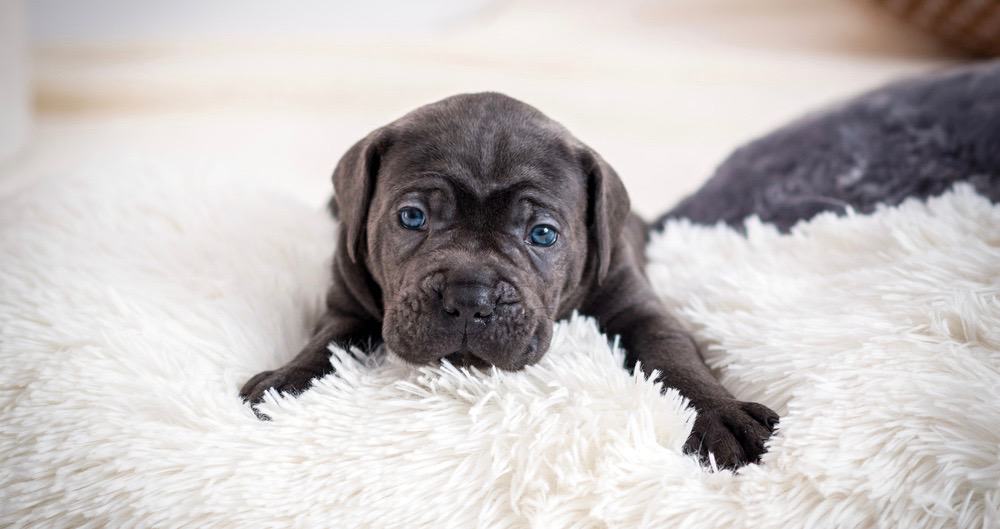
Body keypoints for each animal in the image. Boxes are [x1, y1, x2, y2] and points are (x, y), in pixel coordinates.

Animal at [238, 93, 776, 468]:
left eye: (543, 234)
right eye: (412, 217)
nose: (468, 297)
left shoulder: (637, 305)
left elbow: (674, 355)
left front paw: (719, 415)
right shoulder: (347, 304)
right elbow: (325, 344)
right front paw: (284, 382)